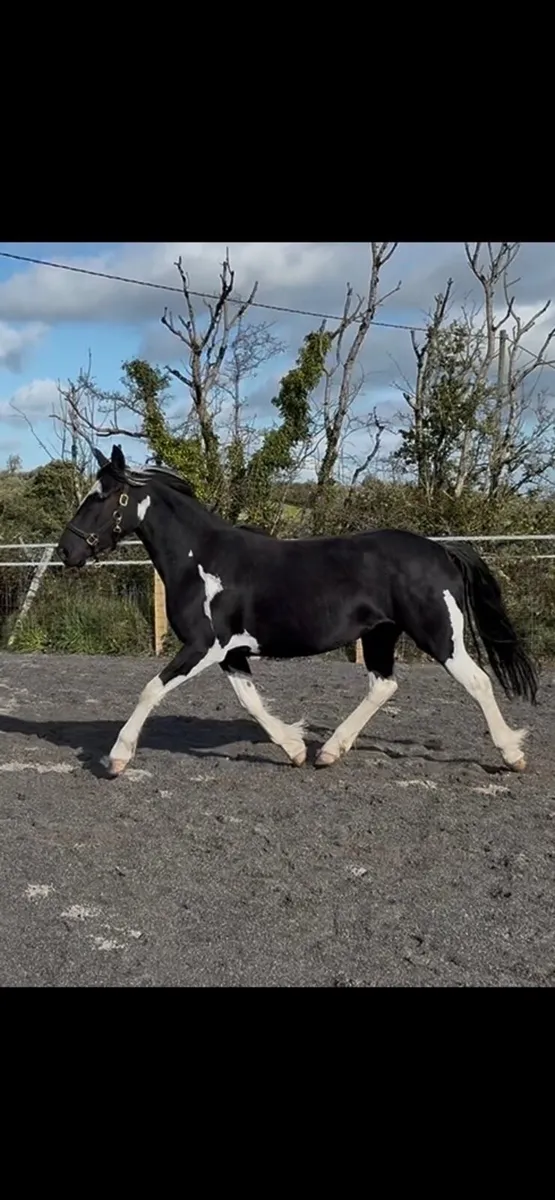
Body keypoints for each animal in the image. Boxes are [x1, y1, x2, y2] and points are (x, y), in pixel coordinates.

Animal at [56, 444, 538, 778]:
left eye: (102, 497)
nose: (66, 551)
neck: (202, 559)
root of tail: (441, 549)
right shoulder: (231, 653)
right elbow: (251, 702)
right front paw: (295, 748)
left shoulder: (203, 646)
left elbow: (150, 690)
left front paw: (117, 758)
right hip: (380, 634)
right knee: (383, 686)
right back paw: (329, 751)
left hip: (439, 636)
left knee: (477, 682)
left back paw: (513, 755)